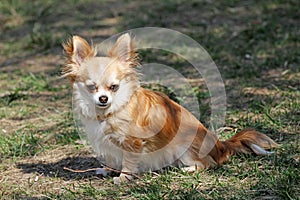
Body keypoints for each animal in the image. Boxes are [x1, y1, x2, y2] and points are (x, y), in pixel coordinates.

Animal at [61, 33, 278, 184]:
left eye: (114, 87)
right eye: (92, 87)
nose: (103, 98)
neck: (108, 111)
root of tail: (220, 145)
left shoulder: (132, 142)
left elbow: (128, 162)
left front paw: (123, 178)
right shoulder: (107, 142)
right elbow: (110, 157)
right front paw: (107, 170)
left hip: (184, 147)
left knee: (208, 164)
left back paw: (188, 169)